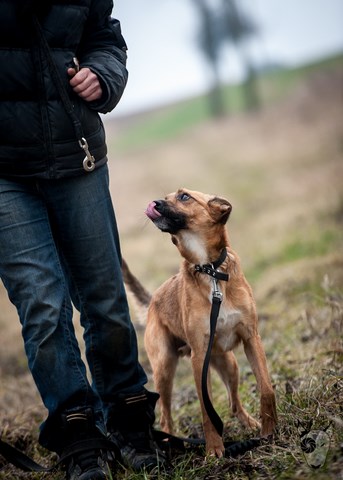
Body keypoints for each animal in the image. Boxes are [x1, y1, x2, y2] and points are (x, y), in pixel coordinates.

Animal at [122, 188, 278, 458]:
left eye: (184, 196)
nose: (154, 203)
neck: (211, 271)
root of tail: (153, 302)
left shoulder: (252, 339)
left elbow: (266, 389)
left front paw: (270, 430)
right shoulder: (198, 358)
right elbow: (206, 409)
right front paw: (214, 448)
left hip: (229, 364)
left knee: (233, 403)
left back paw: (251, 425)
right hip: (165, 369)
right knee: (165, 418)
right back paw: (172, 446)